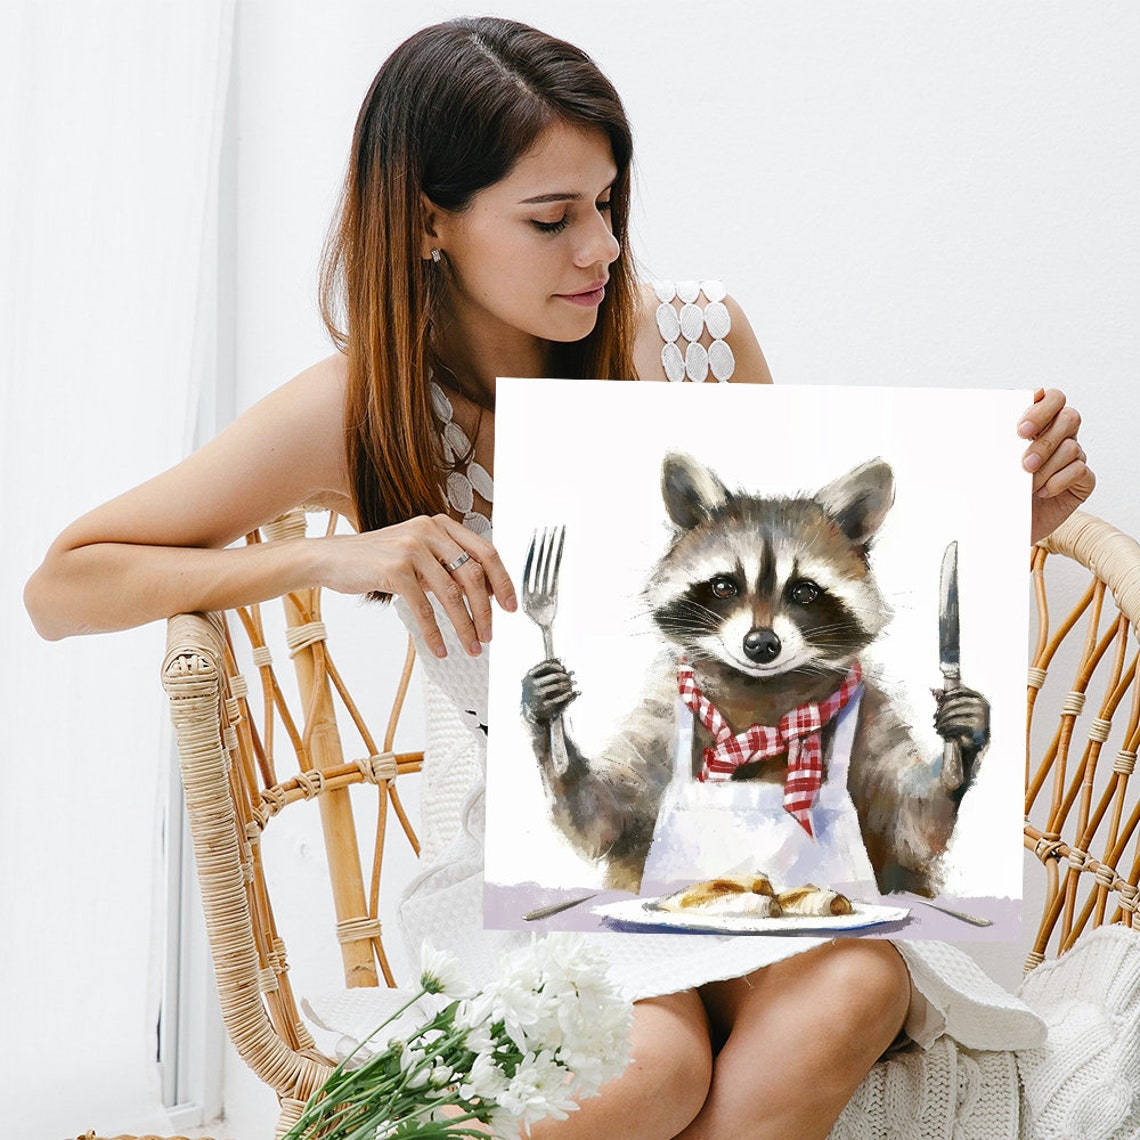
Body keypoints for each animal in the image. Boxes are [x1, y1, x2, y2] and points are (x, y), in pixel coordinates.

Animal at [521, 453, 989, 897]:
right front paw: (554, 743)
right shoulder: (661, 714)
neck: (760, 690)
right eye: (724, 586)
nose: (761, 645)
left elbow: (909, 824)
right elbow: (609, 815)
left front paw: (957, 760)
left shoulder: (874, 715)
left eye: (804, 591)